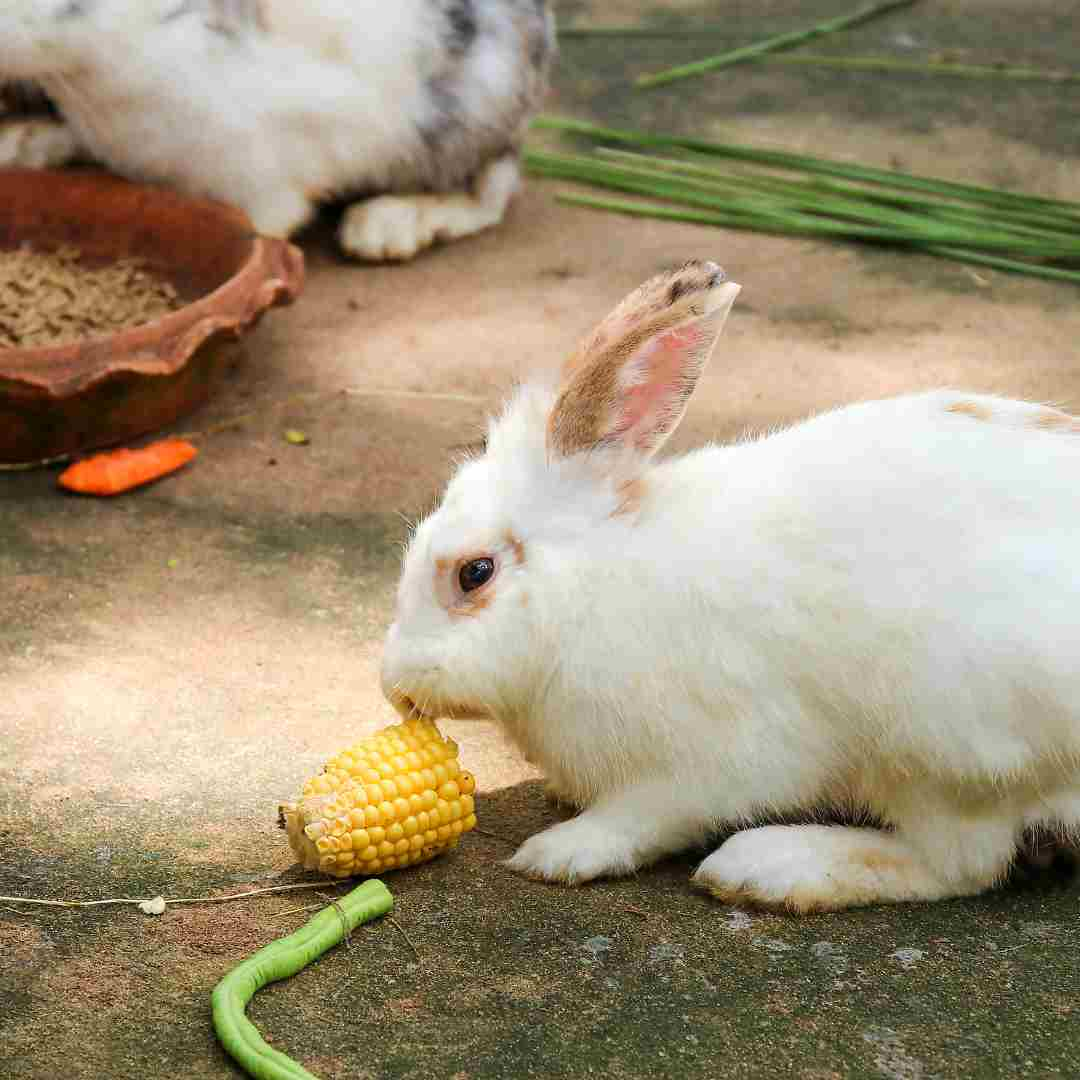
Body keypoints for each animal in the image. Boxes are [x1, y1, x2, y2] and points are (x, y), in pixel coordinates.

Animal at [378, 259, 1080, 911]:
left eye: (475, 572)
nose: (393, 686)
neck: (593, 584)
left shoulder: (709, 760)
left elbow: (646, 815)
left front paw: (561, 852)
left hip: (944, 743)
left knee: (958, 863)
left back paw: (769, 866)